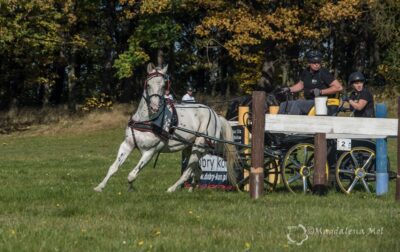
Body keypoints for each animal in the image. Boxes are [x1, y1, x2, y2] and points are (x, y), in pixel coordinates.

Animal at [94, 63, 238, 193]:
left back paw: (172, 189)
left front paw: (130, 188)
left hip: (199, 147)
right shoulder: (127, 144)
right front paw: (99, 187)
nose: (154, 107)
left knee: (188, 171)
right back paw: (191, 190)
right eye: (148, 84)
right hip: (189, 148)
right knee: (197, 171)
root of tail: (215, 115)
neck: (146, 120)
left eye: (163, 86)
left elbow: (132, 175)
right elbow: (113, 168)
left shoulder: (150, 151)